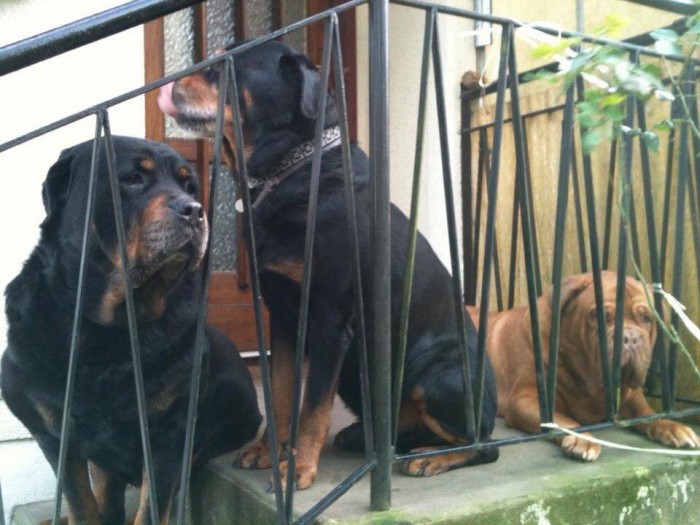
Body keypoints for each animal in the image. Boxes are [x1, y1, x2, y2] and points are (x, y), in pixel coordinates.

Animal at [159, 41, 498, 488]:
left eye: (226, 66)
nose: (172, 80)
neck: (293, 170)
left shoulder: (331, 320)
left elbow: (314, 405)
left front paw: (298, 466)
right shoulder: (283, 317)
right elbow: (282, 393)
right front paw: (266, 451)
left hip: (441, 377)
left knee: (484, 446)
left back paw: (432, 457)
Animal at [470, 270, 700, 458]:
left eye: (646, 319)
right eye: (599, 316)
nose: (631, 338)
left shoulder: (632, 396)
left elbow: (647, 414)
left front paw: (673, 427)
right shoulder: (527, 399)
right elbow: (561, 420)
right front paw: (583, 439)